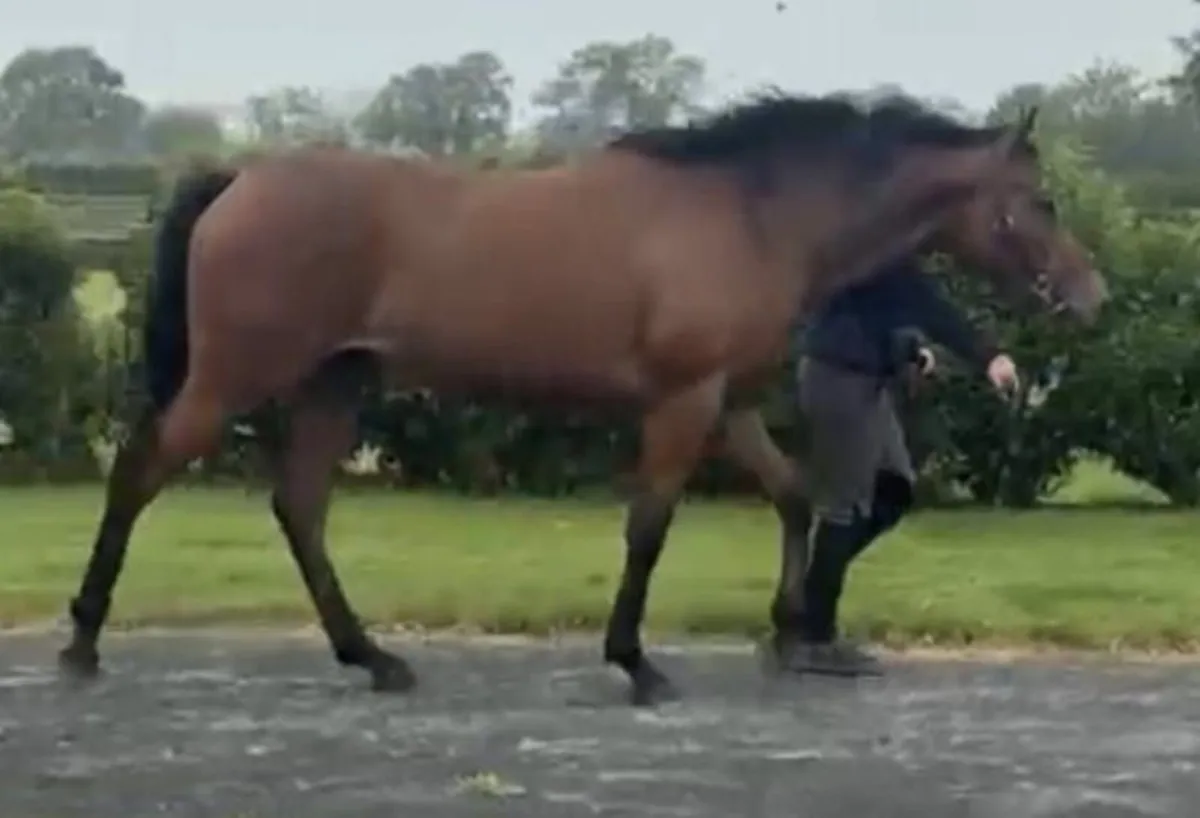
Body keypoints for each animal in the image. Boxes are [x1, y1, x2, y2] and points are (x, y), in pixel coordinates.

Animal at [57, 92, 1106, 706]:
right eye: (1042, 200)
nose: (1090, 294)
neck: (746, 214)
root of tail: (240, 179)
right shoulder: (682, 404)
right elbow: (649, 527)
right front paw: (636, 661)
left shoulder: (726, 403)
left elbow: (796, 497)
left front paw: (789, 630)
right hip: (235, 377)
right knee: (139, 473)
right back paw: (82, 642)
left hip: (334, 383)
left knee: (300, 505)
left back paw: (374, 658)